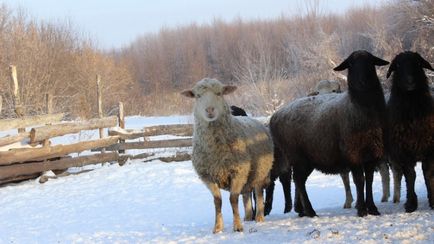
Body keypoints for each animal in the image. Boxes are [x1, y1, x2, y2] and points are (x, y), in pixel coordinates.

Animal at [181, 78, 272, 233]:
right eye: (198, 96)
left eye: (219, 93)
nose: (209, 110)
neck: (215, 151)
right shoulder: (207, 176)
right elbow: (217, 201)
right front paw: (218, 227)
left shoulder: (238, 171)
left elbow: (233, 199)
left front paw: (237, 227)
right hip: (247, 176)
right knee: (246, 194)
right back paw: (248, 217)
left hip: (260, 171)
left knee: (258, 193)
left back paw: (259, 217)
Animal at [384, 51, 432, 212]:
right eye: (398, 65)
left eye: (416, 62)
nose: (410, 81)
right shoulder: (403, 152)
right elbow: (411, 176)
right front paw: (411, 203)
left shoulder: (429, 149)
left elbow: (428, 174)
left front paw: (433, 200)